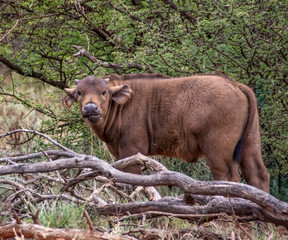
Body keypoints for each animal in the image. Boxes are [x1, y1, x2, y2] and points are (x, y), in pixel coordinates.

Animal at [64, 74, 270, 192]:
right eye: (79, 92)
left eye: (104, 92)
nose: (91, 108)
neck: (122, 105)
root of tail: (235, 84)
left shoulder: (132, 151)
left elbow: (131, 182)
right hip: (250, 145)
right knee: (258, 175)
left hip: (218, 153)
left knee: (229, 179)